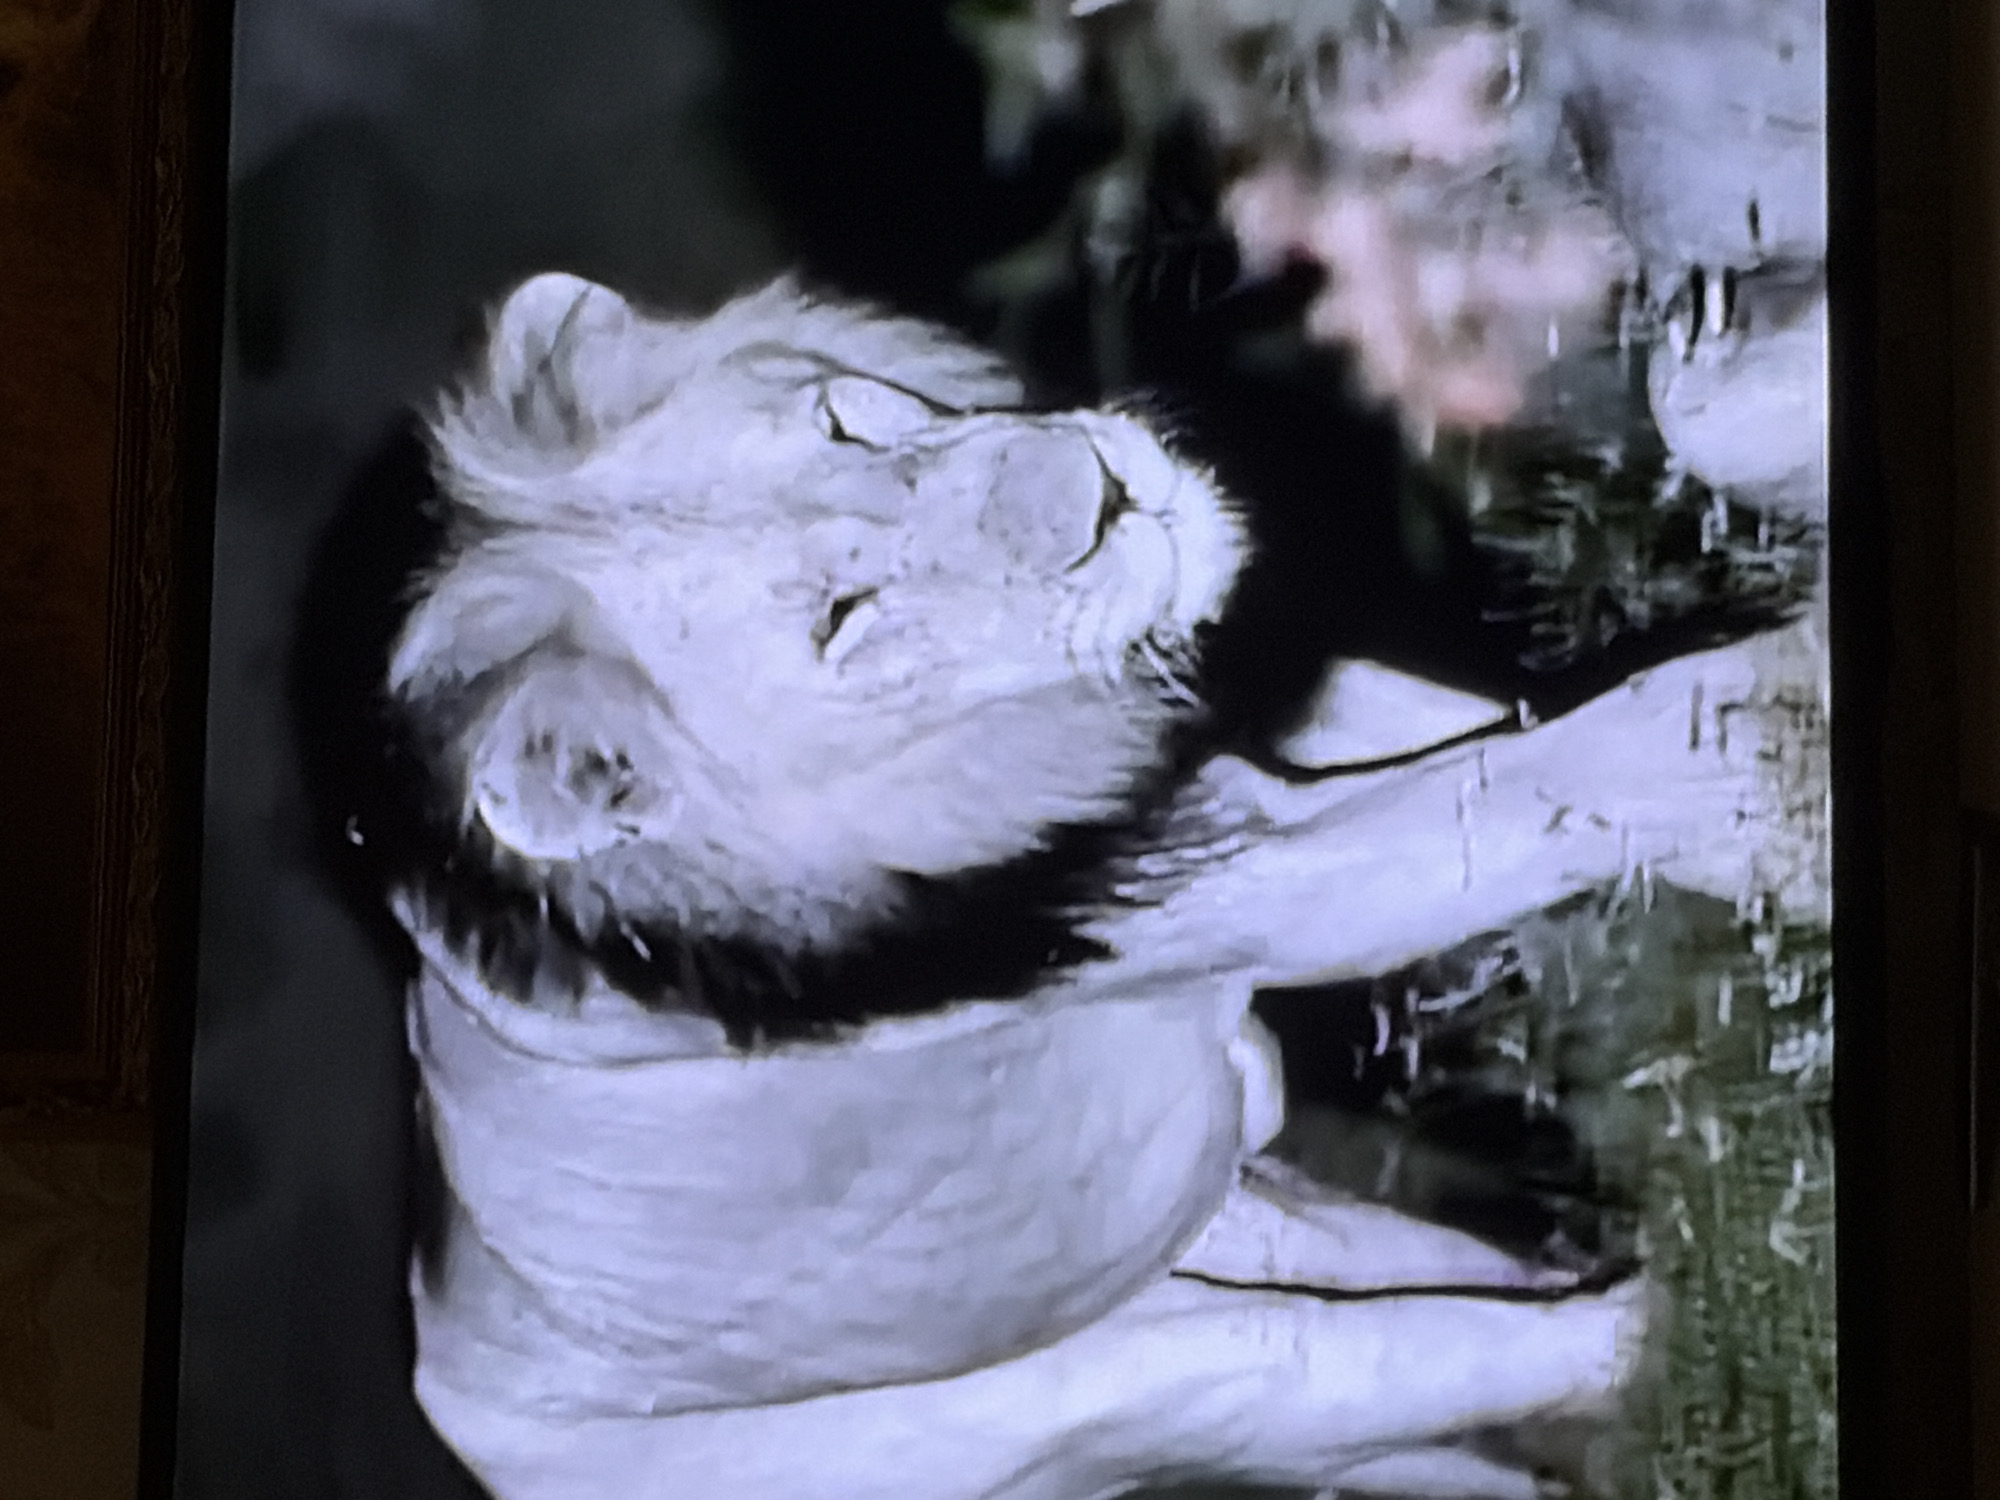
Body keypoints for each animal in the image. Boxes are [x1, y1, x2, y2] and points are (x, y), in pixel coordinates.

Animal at [383, 272, 1676, 1500]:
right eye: (840, 620)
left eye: (844, 421)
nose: (1096, 494)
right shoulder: (1235, 891)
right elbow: (1553, 778)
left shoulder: (1225, 757)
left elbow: (1487, 731)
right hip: (1123, 1383)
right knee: (1372, 1352)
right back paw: (1667, 1319)